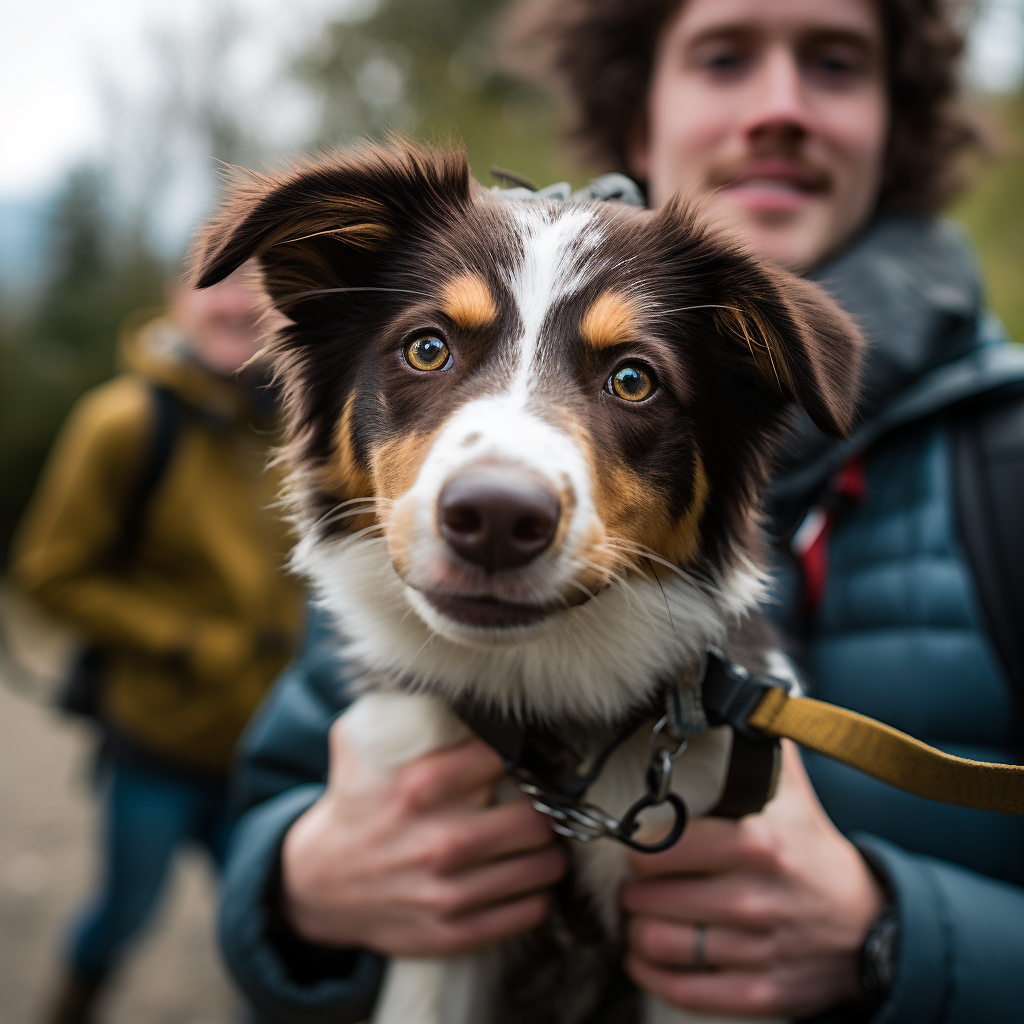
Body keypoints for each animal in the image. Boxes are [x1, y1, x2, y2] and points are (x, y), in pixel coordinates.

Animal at [192, 142, 864, 1024]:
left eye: (634, 379)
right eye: (427, 348)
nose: (495, 517)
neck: (551, 724)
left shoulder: (705, 934)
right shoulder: (442, 937)